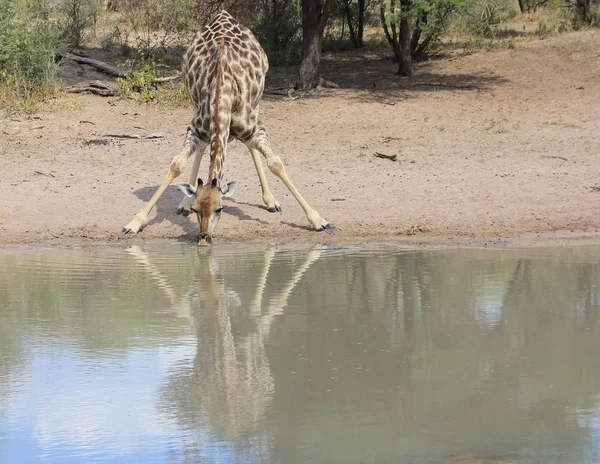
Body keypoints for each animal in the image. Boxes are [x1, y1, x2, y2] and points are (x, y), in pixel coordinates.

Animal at [119, 9, 330, 245]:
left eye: (220, 209)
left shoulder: (255, 128)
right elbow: (176, 165)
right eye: (197, 209)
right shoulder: (195, 129)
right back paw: (184, 201)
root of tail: (223, 14)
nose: (203, 237)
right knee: (204, 148)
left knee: (251, 147)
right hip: (194, 102)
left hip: (257, 102)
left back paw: (271, 201)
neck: (223, 93)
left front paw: (318, 219)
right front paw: (135, 222)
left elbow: (275, 163)